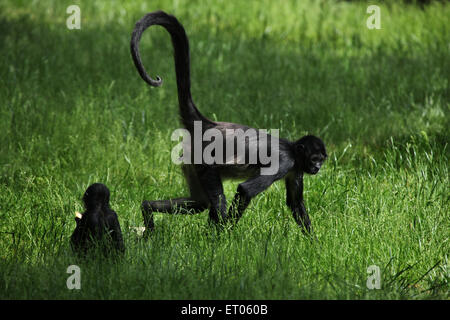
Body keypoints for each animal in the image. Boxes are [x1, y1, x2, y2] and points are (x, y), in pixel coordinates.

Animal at [130, 10, 326, 235]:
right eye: (315, 159)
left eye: (321, 160)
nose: (317, 167)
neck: (293, 150)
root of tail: (209, 124)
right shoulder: (285, 161)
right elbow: (245, 190)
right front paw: (228, 233)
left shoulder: (295, 168)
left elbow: (295, 203)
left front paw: (314, 242)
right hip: (204, 161)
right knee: (216, 200)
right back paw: (215, 234)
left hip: (191, 159)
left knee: (200, 203)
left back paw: (147, 208)